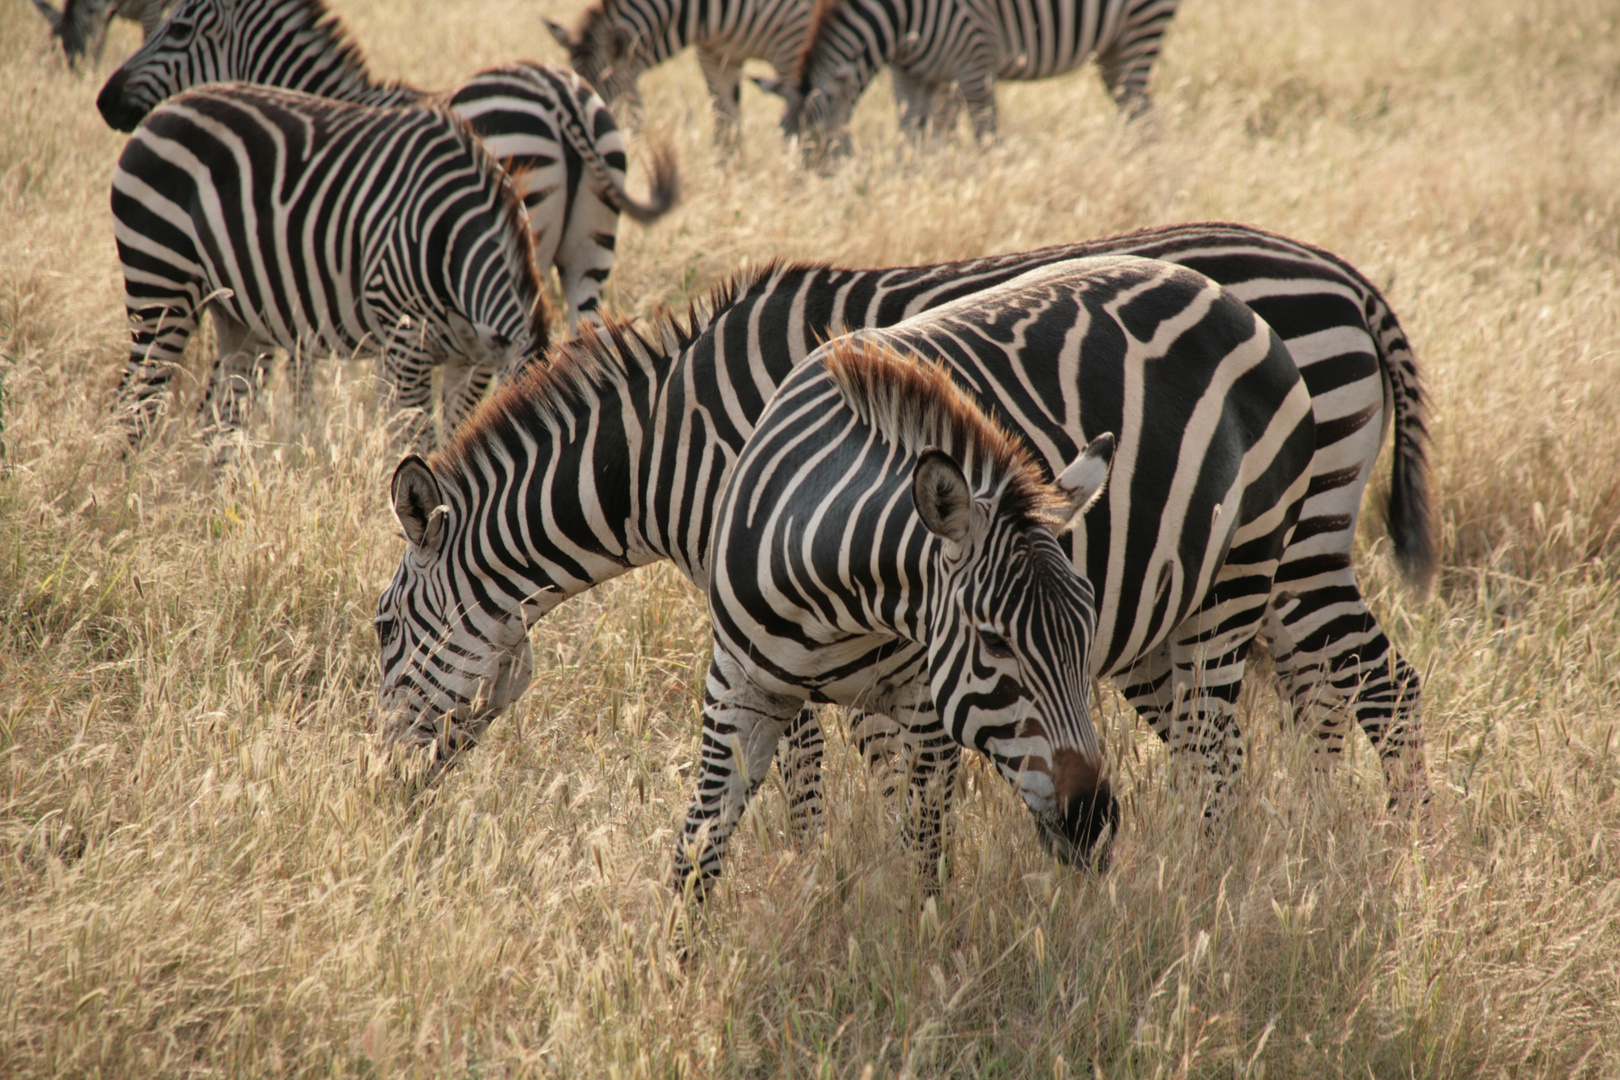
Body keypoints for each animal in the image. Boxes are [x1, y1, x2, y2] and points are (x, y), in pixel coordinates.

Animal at [112, 83, 550, 453]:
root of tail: (167, 107)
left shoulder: (472, 362)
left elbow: (457, 437)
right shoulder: (405, 344)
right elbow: (417, 445)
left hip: (238, 317)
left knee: (222, 418)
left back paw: (211, 494)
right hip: (160, 282)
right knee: (136, 402)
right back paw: (133, 487)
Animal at [370, 220, 1432, 816]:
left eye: (381, 632)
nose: (386, 793)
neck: (679, 442)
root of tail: (1343, 275)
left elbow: (802, 772)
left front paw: (813, 871)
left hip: (1300, 544)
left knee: (1384, 689)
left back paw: (1399, 846)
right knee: (1317, 701)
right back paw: (1323, 836)